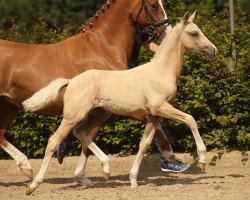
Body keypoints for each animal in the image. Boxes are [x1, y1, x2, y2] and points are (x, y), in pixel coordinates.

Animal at [23, 12, 217, 194]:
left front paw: (133, 180)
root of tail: (71, 81)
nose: (214, 50)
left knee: (81, 132)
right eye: (194, 33)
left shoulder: (154, 116)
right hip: (73, 115)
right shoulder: (160, 108)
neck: (160, 72)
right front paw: (202, 160)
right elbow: (190, 119)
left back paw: (106, 168)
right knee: (54, 141)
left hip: (99, 114)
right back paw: (33, 185)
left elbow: (144, 144)